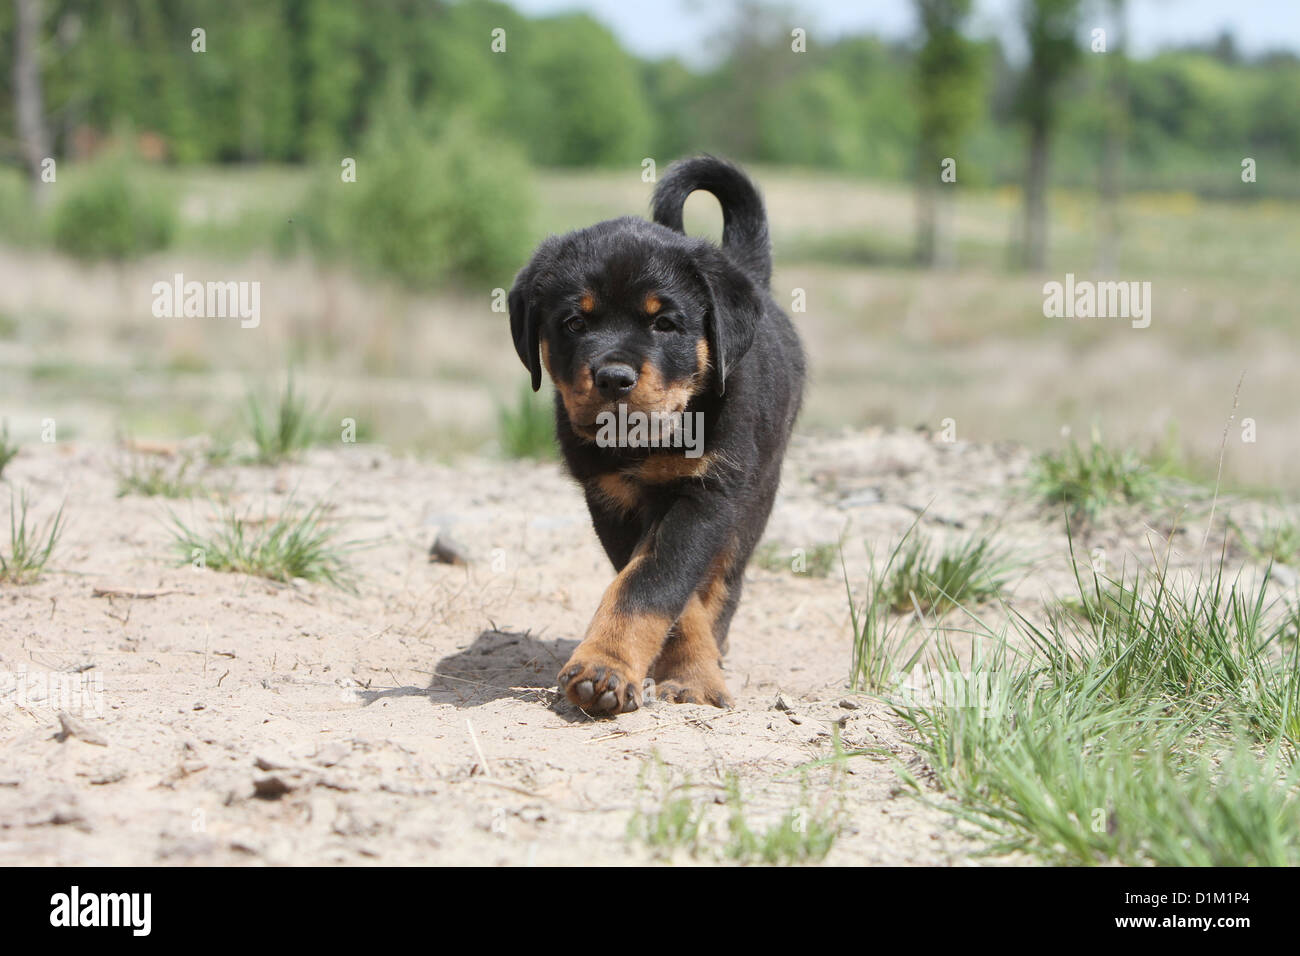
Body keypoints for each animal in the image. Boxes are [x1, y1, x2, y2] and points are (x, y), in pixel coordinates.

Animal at [506, 155, 800, 712]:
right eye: (574, 322)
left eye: (664, 323)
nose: (613, 377)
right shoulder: (610, 500)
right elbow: (656, 591)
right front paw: (614, 669)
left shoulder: (708, 493)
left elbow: (654, 583)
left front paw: (682, 678)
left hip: (758, 495)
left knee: (724, 581)